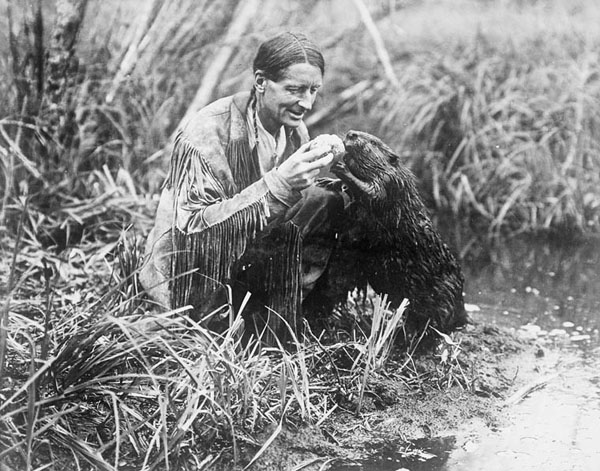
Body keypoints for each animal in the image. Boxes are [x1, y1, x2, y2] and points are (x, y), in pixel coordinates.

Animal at [304, 129, 468, 336]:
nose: (351, 133)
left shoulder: (391, 182)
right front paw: (327, 181)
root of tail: (462, 309)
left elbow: (373, 193)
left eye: (373, 142)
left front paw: (341, 168)